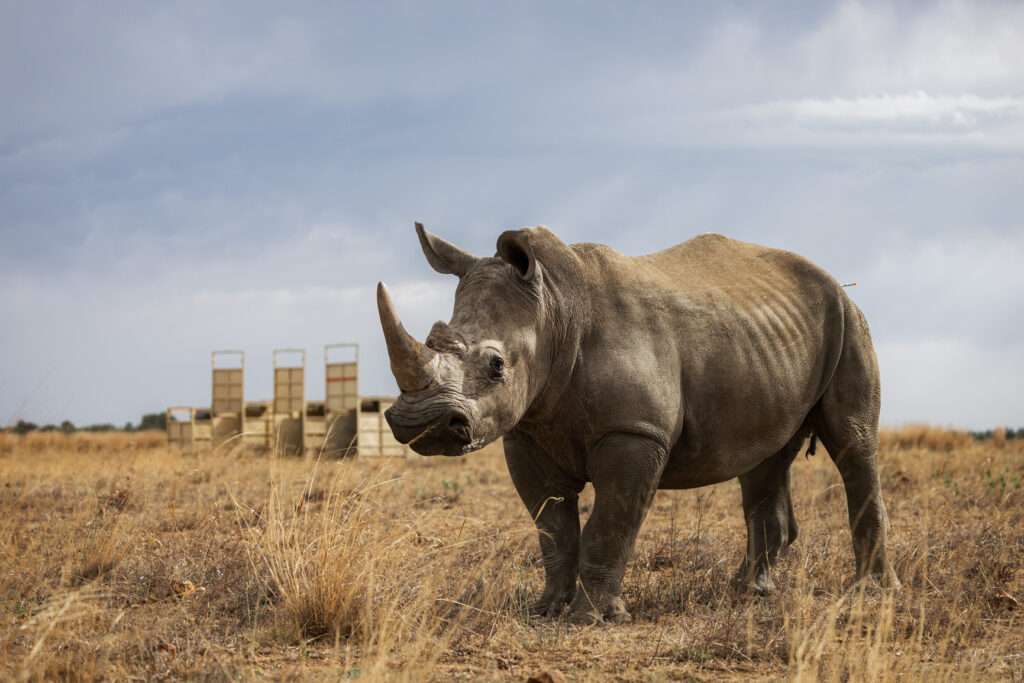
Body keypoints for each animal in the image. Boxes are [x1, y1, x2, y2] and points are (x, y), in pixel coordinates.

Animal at [377, 223, 900, 624]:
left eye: (496, 366)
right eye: (433, 338)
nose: (422, 424)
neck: (554, 309)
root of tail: (831, 278)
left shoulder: (634, 431)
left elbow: (610, 523)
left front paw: (591, 619)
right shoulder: (526, 431)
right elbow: (553, 526)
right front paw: (546, 610)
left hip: (849, 319)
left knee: (853, 445)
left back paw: (872, 593)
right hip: (768, 342)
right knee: (762, 461)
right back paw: (749, 591)